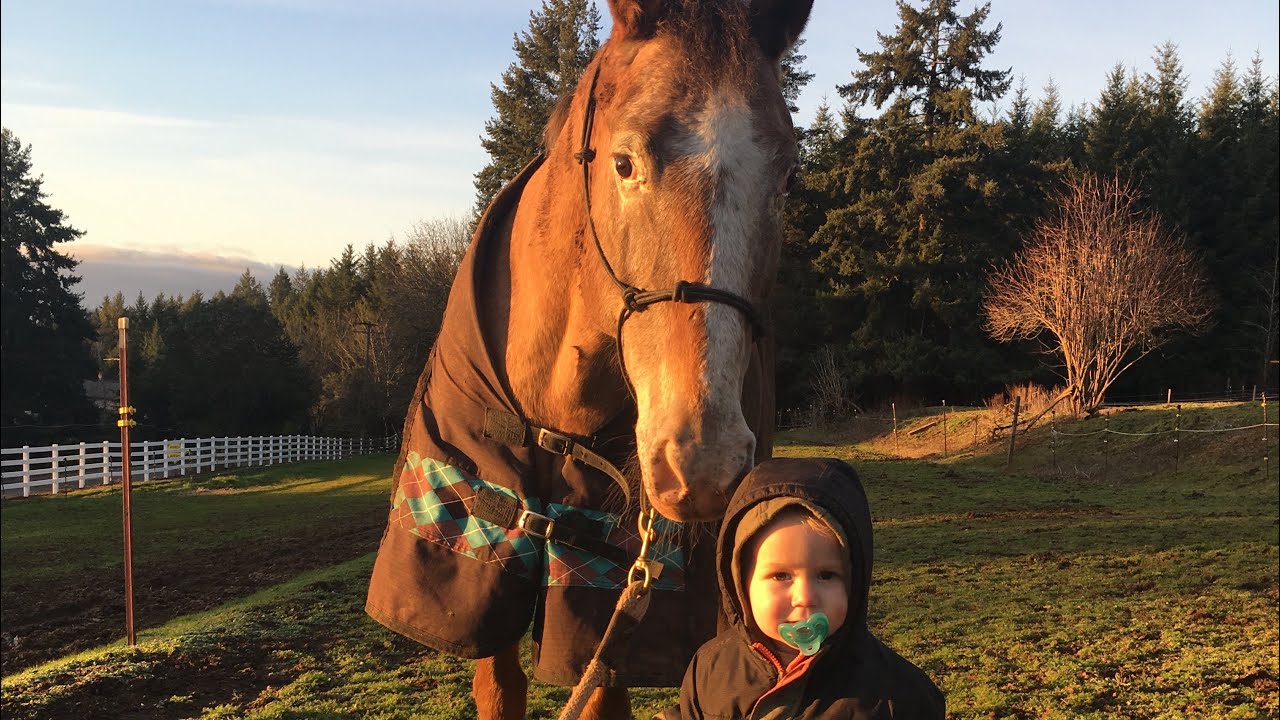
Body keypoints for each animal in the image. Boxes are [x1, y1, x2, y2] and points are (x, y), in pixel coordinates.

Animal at [366, 1, 813, 718]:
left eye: (788, 175)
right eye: (625, 163)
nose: (702, 462)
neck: (555, 408)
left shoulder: (604, 605)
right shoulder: (482, 577)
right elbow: (499, 687)